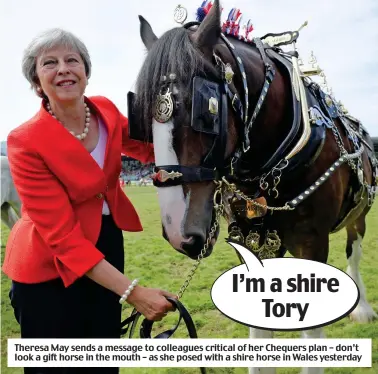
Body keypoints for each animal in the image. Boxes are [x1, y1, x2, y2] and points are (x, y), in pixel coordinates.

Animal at [131, 1, 378, 372]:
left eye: (204, 110)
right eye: (143, 117)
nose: (177, 233)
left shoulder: (313, 241)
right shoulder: (253, 240)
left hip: (359, 213)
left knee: (355, 249)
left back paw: (361, 307)